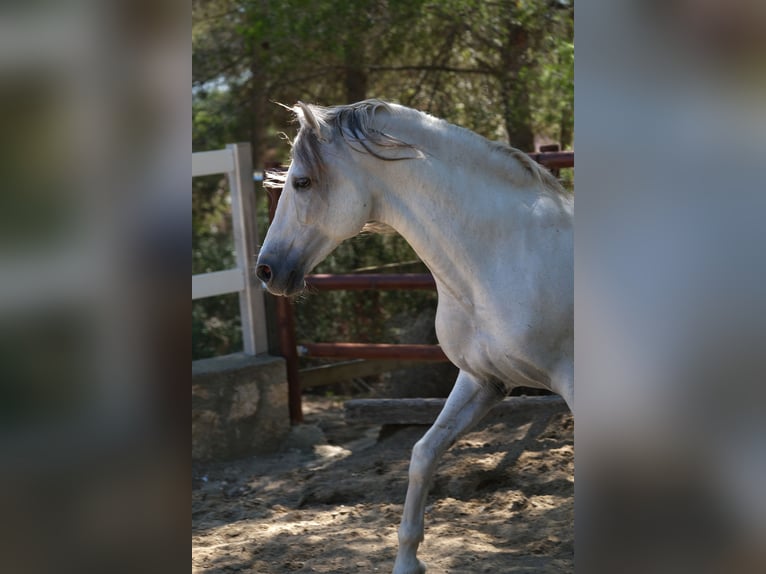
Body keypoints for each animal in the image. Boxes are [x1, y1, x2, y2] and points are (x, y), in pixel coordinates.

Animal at [255, 100, 572, 574]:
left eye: (302, 181)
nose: (266, 270)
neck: (508, 254)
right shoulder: (484, 380)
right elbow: (423, 453)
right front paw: (407, 561)